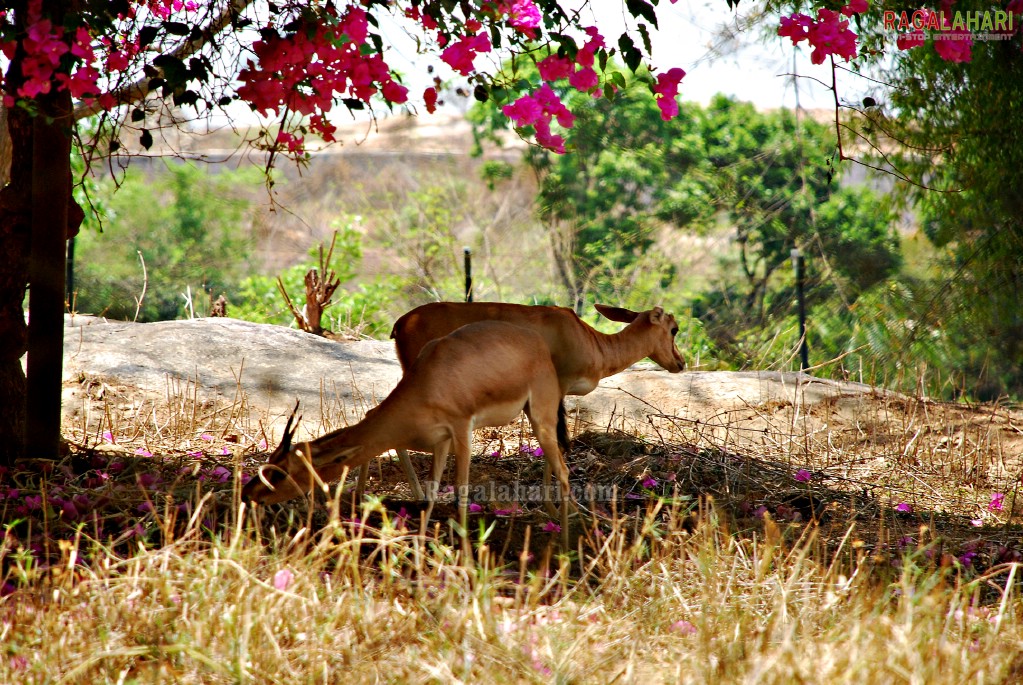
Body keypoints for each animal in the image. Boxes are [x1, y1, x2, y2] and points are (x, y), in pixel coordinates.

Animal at [241, 323, 576, 548]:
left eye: (281, 472)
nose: (247, 494)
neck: (429, 382)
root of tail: (536, 341)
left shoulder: (461, 431)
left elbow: (461, 494)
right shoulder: (440, 441)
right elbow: (430, 496)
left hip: (541, 419)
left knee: (564, 469)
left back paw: (566, 539)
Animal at [360, 302, 687, 500]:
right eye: (674, 329)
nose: (680, 363)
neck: (590, 342)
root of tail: (401, 323)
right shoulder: (557, 388)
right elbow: (558, 441)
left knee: (374, 414)